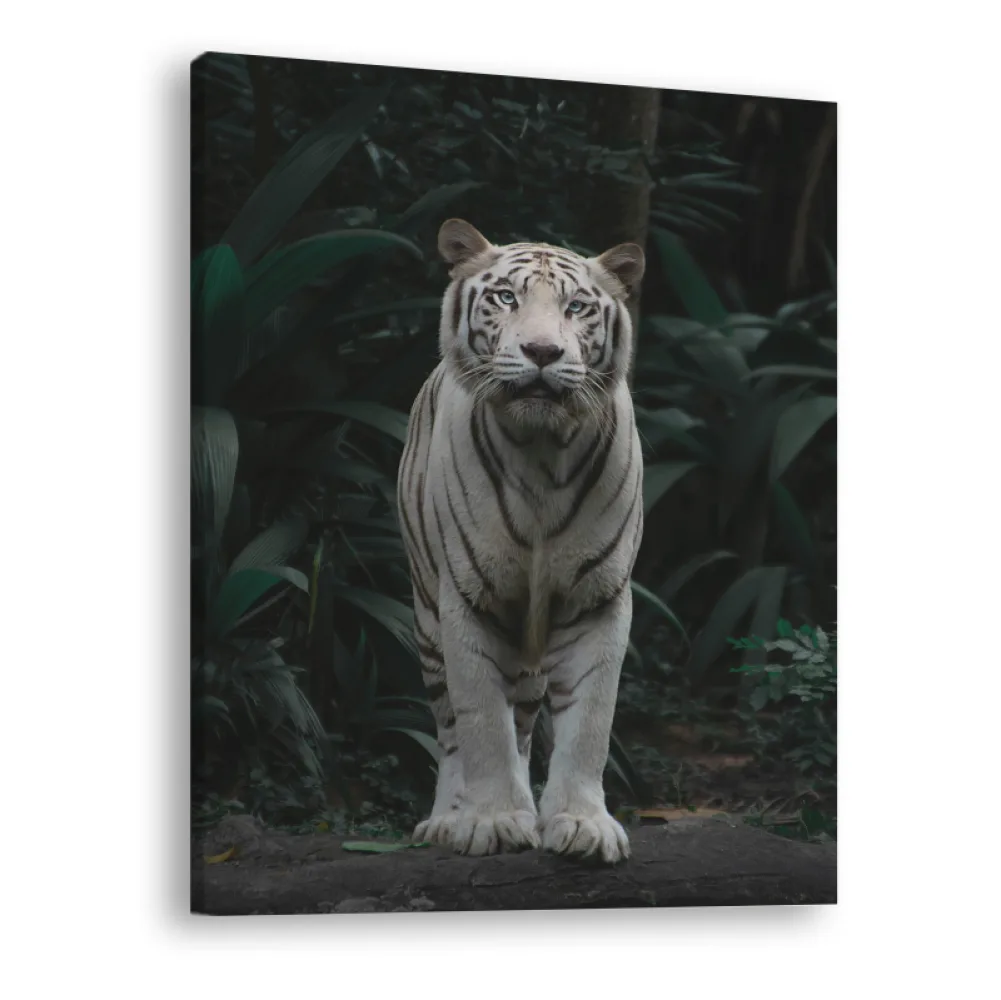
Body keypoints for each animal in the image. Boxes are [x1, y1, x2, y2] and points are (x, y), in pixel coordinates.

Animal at [396, 219, 645, 864]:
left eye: (577, 306)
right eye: (506, 298)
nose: (541, 352)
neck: (542, 452)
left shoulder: (599, 598)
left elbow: (590, 721)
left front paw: (581, 824)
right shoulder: (466, 597)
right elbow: (482, 721)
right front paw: (494, 821)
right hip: (426, 618)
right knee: (451, 730)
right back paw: (447, 820)